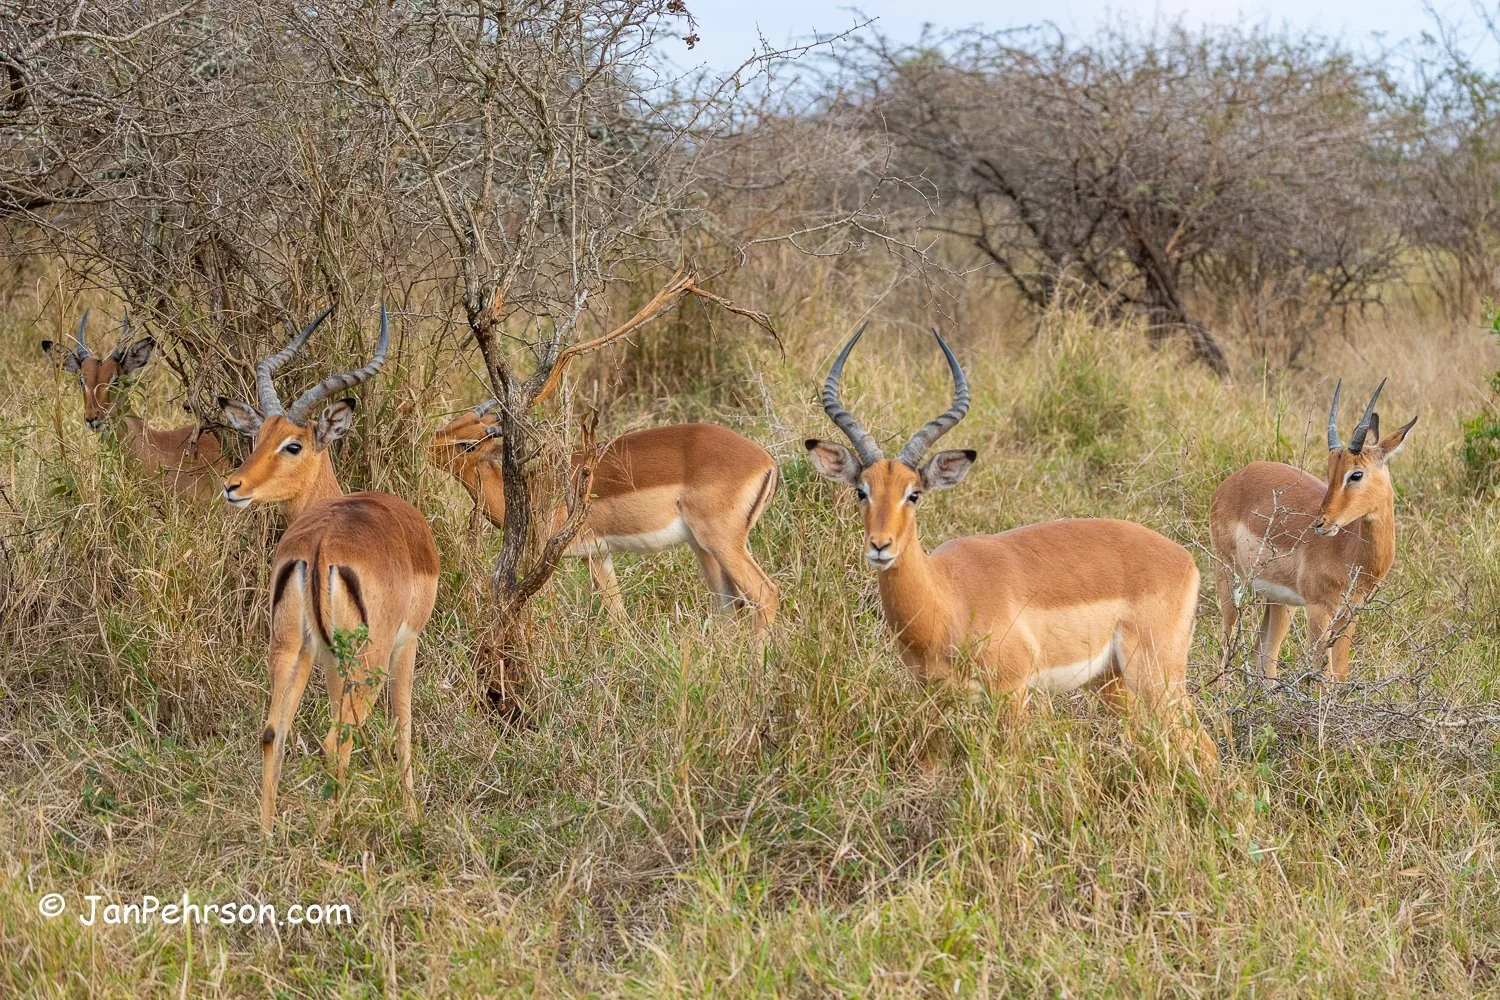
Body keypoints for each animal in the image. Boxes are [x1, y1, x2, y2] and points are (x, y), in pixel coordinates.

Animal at [218, 306, 440, 833]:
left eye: (290, 444)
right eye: (258, 437)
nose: (233, 486)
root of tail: (319, 545)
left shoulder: (322, 656)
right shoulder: (408, 642)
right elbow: (403, 722)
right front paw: (411, 811)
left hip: (290, 647)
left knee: (273, 732)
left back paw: (268, 832)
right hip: (367, 657)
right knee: (338, 739)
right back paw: (335, 831)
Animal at [431, 405, 780, 627]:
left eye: (468, 444)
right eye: (457, 422)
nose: (428, 443)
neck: (531, 486)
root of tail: (767, 461)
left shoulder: (545, 557)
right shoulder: (597, 555)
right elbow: (619, 615)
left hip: (722, 543)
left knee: (766, 595)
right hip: (703, 548)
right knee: (729, 606)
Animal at [805, 326, 1216, 767]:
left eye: (913, 494)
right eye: (861, 491)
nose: (880, 546)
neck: (946, 595)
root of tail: (1185, 558)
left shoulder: (1012, 691)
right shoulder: (933, 697)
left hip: (1157, 676)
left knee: (1203, 743)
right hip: (1113, 682)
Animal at [1210, 380, 1416, 684]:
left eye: (1356, 474)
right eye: (1330, 471)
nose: (1321, 523)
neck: (1349, 552)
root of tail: (1235, 479)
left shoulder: (1349, 615)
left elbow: (1339, 674)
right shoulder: (1319, 611)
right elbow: (1323, 676)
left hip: (1280, 601)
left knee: (1264, 654)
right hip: (1229, 577)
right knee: (1227, 646)